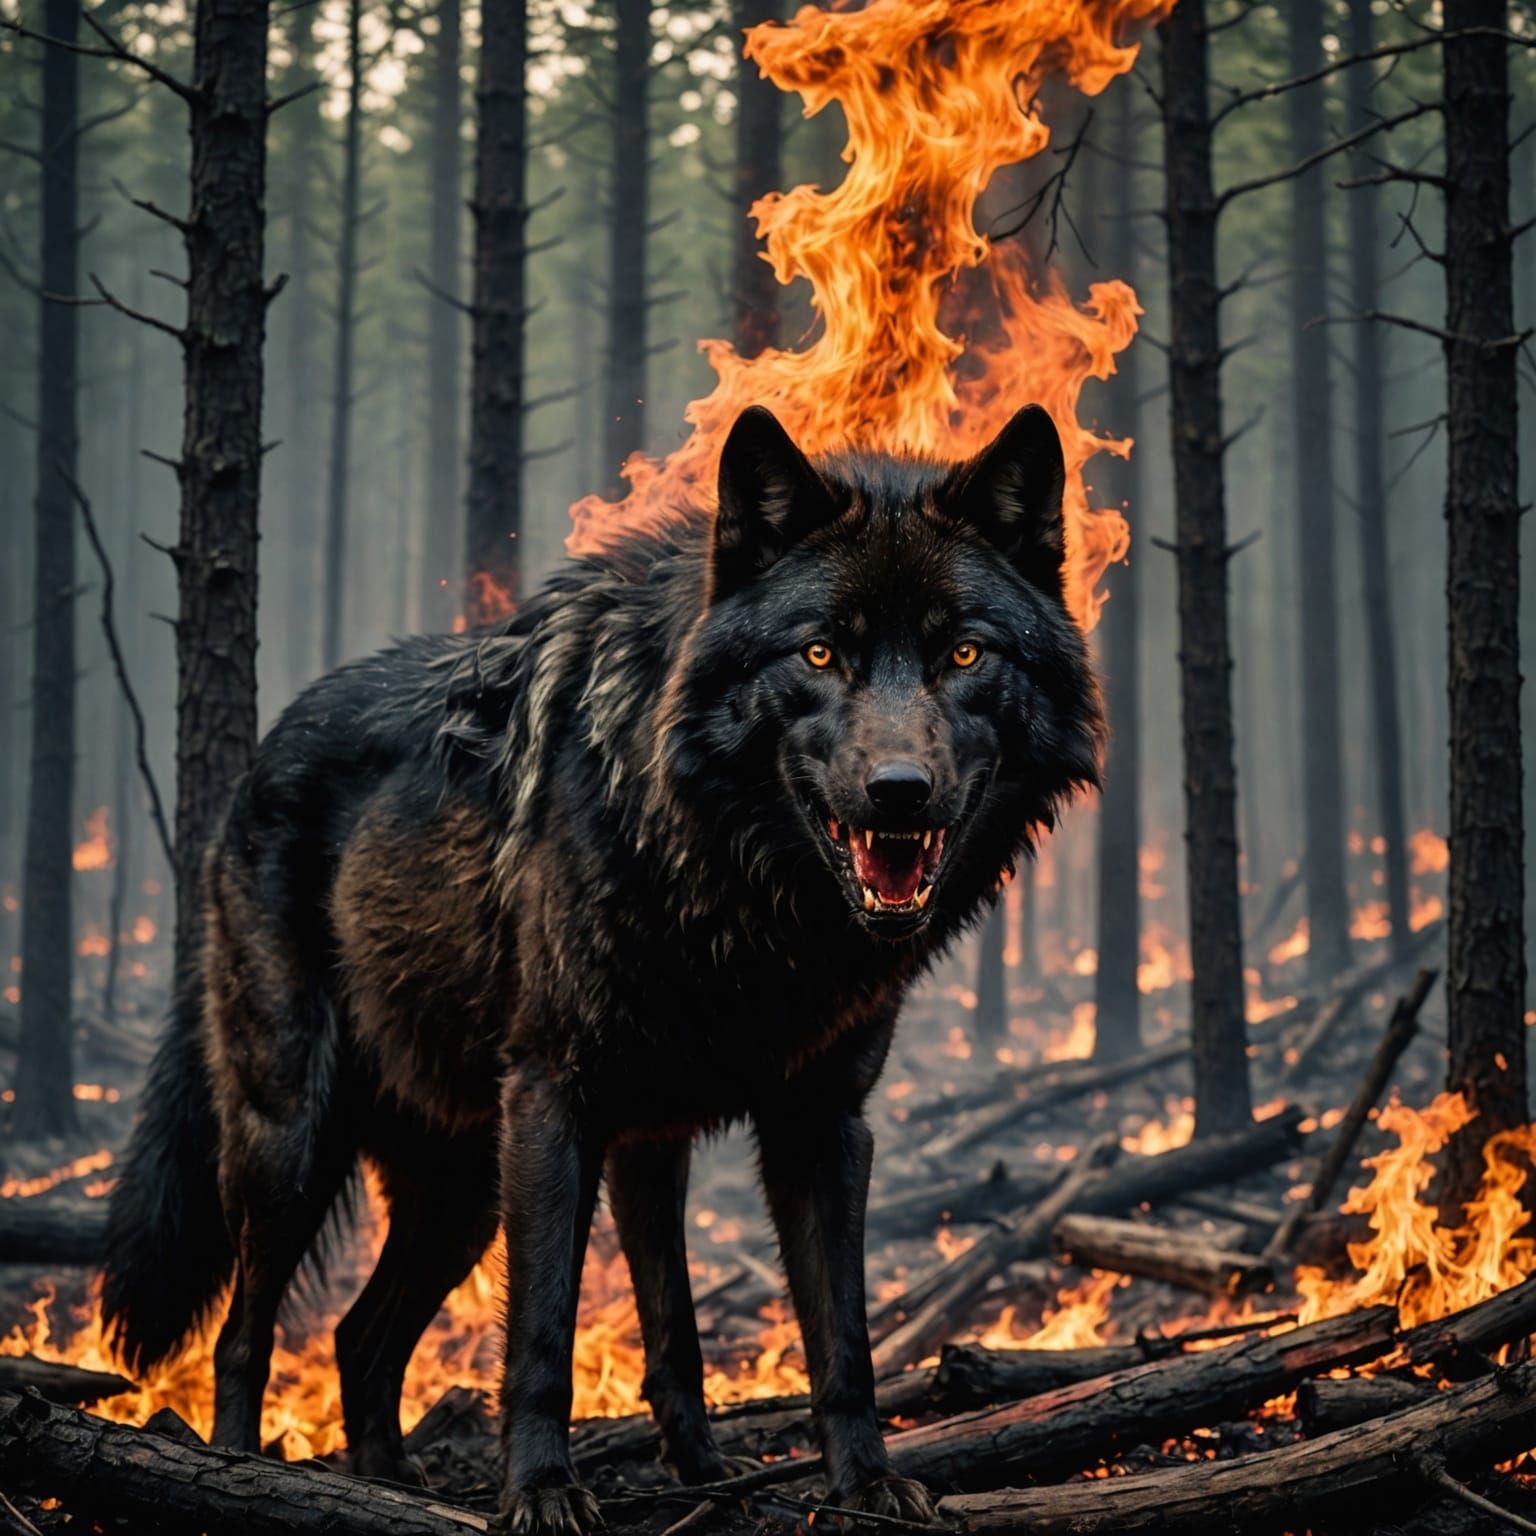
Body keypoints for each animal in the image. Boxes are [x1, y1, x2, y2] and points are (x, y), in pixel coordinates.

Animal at [100, 403, 1102, 1533]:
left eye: (964, 652)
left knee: (361, 1339)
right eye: (820, 652)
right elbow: (544, 1332)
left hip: (462, 1194)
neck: (730, 882)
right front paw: (542, 1491)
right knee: (245, 1333)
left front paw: (846, 1483)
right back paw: (239, 1475)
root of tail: (255, 760)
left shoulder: (791, 1127)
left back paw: (390, 1483)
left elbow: (804, 1338)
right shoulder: (557, 1098)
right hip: (295, 1145)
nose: (900, 792)